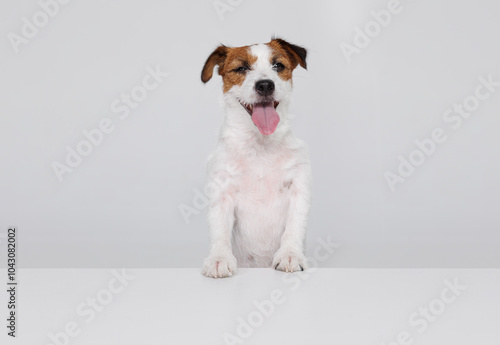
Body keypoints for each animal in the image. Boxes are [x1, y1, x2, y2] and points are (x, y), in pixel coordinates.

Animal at [200, 37, 310, 278]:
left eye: (278, 65)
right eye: (241, 68)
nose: (265, 85)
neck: (260, 146)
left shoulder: (298, 188)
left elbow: (294, 227)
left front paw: (290, 255)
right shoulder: (221, 193)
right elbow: (219, 230)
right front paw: (219, 259)